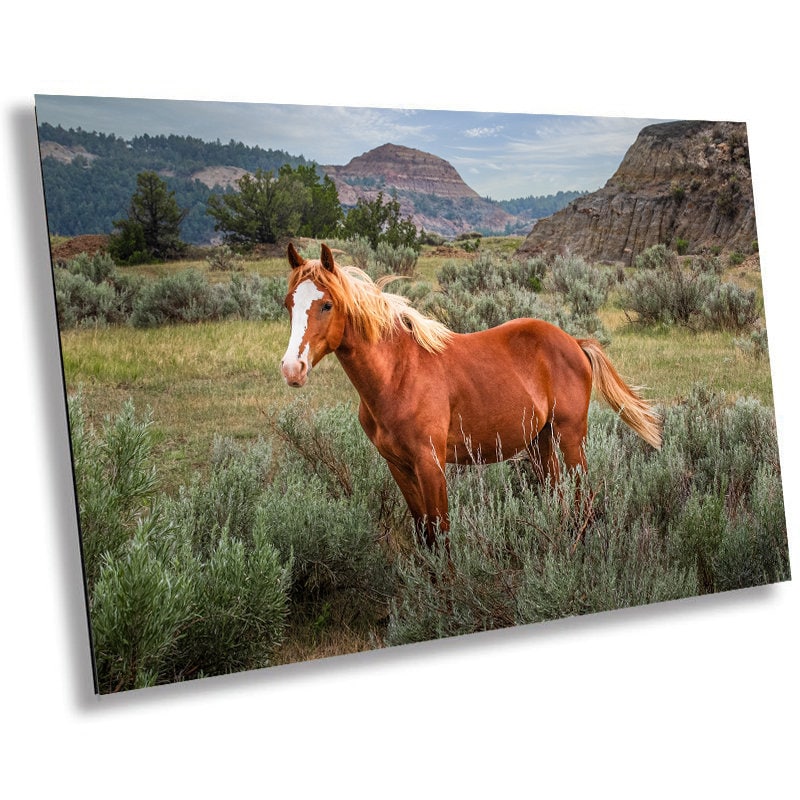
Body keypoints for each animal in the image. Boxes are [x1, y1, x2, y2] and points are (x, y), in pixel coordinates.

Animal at [280, 242, 661, 548]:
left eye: (327, 305)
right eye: (288, 304)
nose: (292, 369)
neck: (398, 374)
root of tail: (573, 342)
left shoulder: (430, 464)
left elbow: (441, 533)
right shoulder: (398, 466)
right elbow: (424, 534)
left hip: (570, 438)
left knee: (582, 499)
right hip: (540, 441)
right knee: (560, 498)